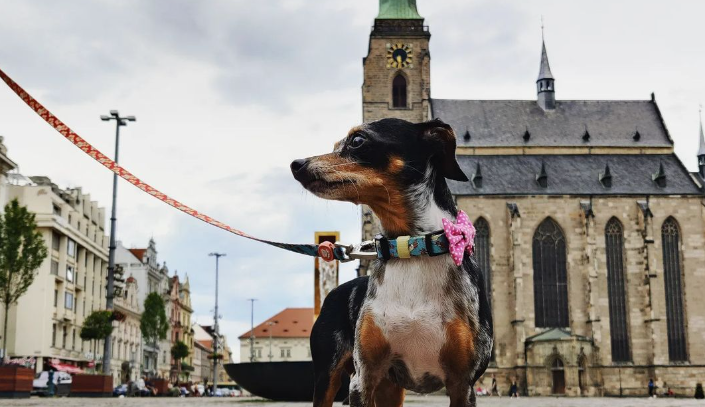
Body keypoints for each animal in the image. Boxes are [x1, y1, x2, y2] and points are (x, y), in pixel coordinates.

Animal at [288, 118, 492, 407]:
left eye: (357, 140)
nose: (297, 164)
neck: (411, 249)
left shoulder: (463, 384)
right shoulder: (363, 378)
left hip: (390, 389)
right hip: (329, 376)